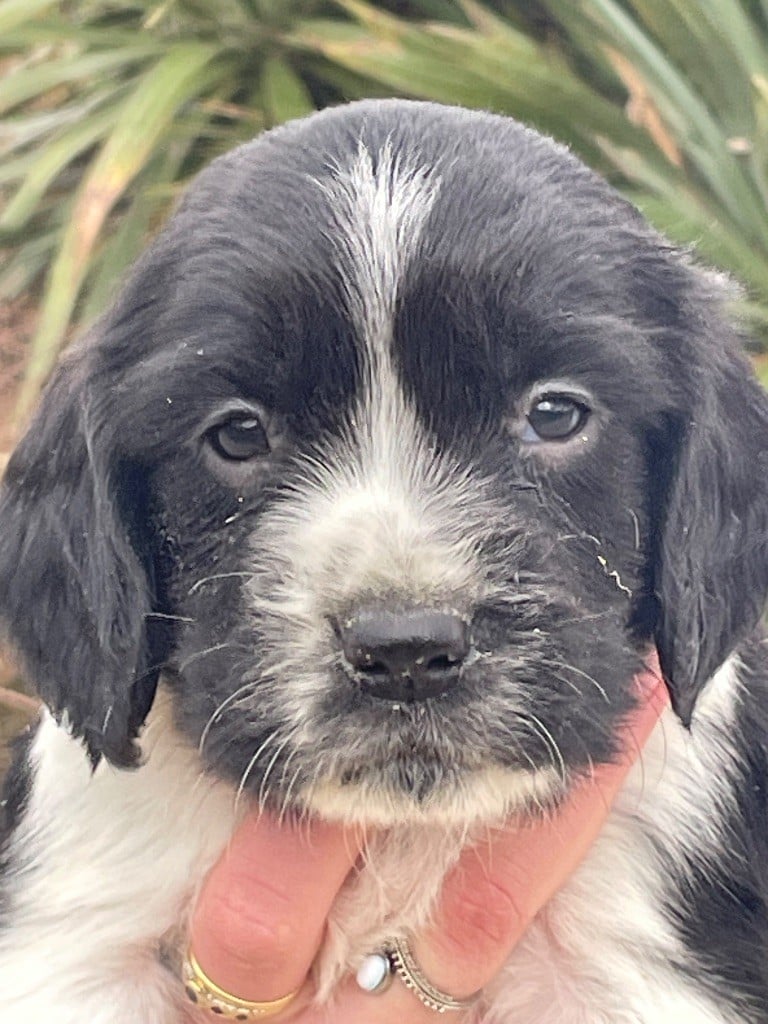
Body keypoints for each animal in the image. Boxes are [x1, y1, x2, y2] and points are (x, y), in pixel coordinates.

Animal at [1, 101, 768, 1024]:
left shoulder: (635, 961)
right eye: (237, 433)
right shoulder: (75, 935)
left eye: (556, 414)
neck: (403, 837)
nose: (406, 652)